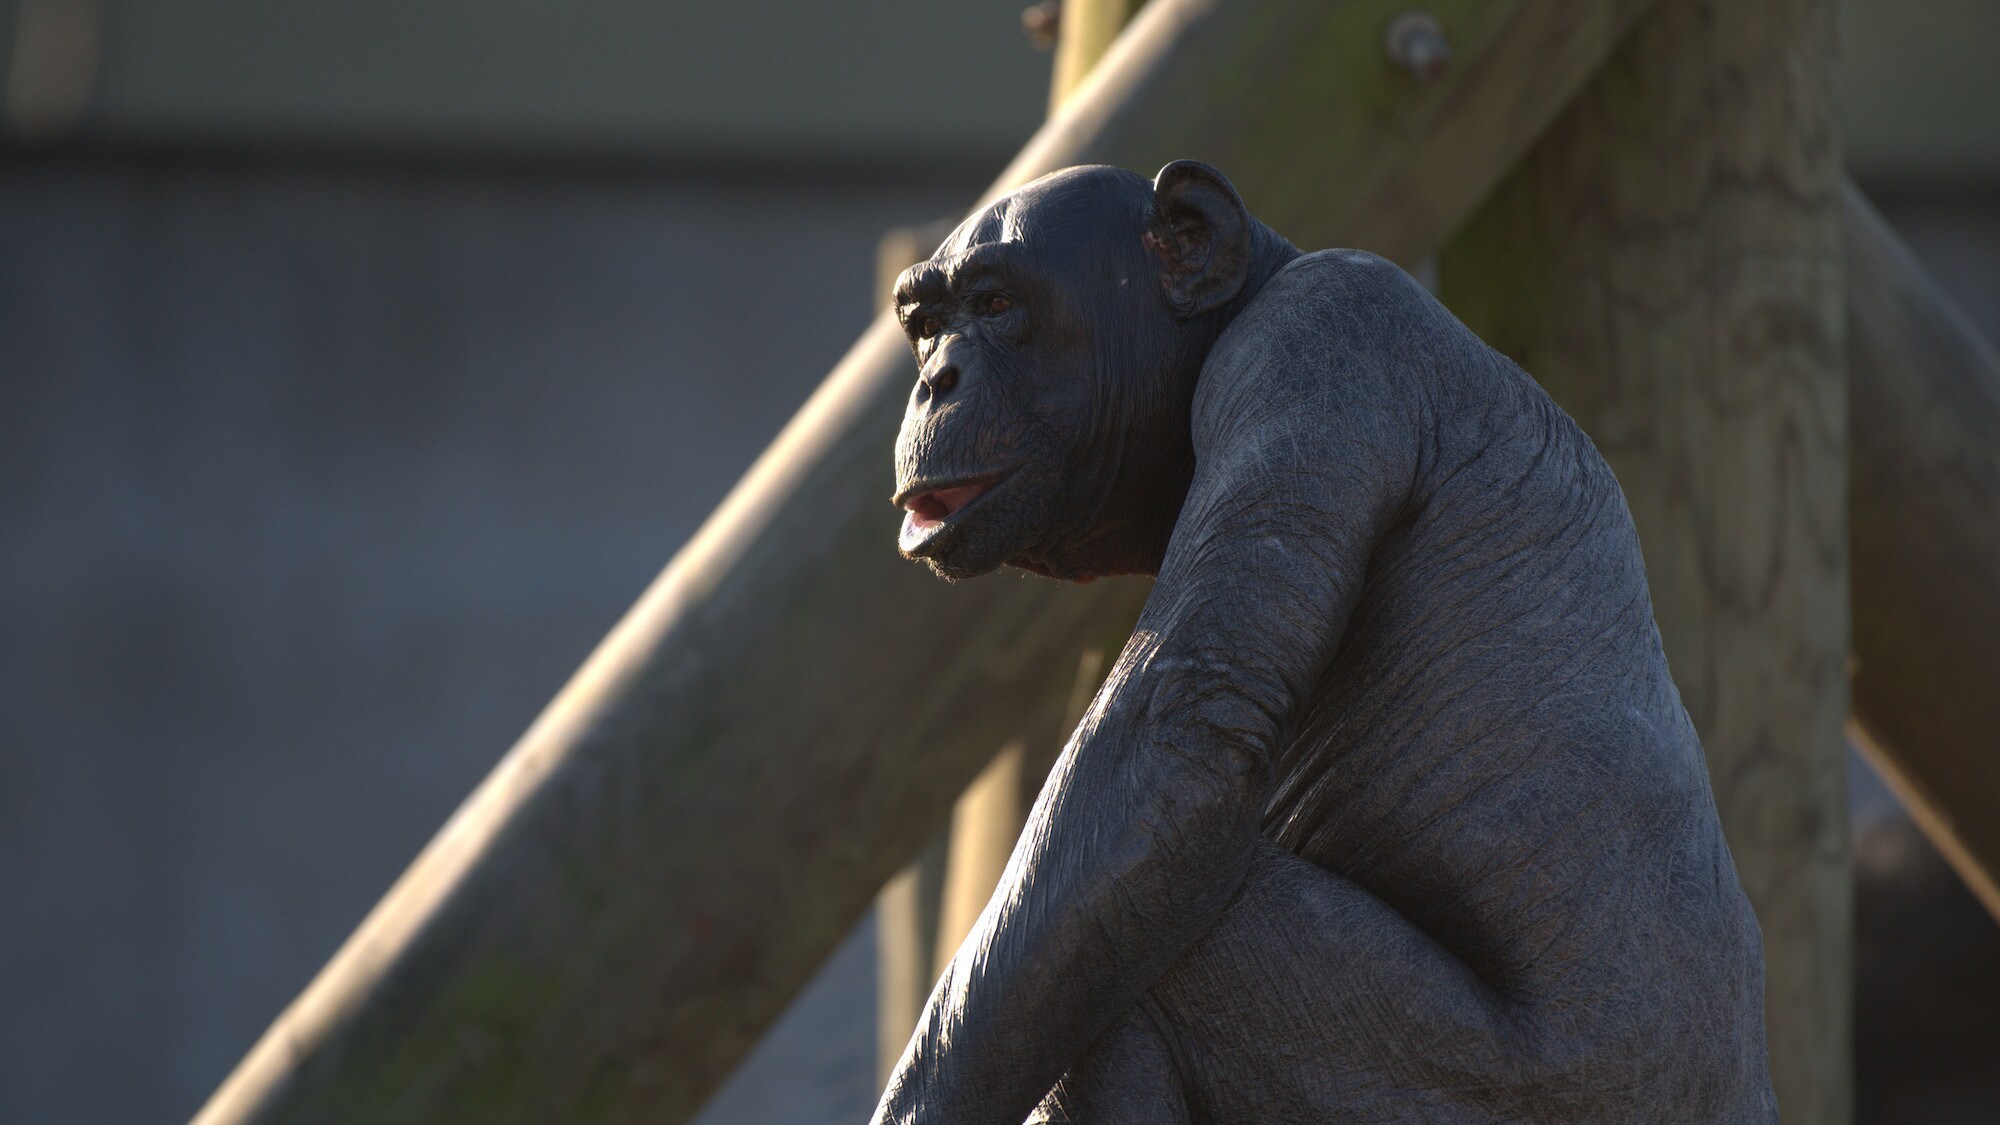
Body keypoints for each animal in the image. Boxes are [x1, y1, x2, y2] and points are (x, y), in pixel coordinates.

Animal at [876, 162, 1768, 1112]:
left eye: (997, 302)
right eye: (925, 327)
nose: (936, 379)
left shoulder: (1306, 347)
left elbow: (1171, 733)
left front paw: (924, 1096)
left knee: (1147, 959)